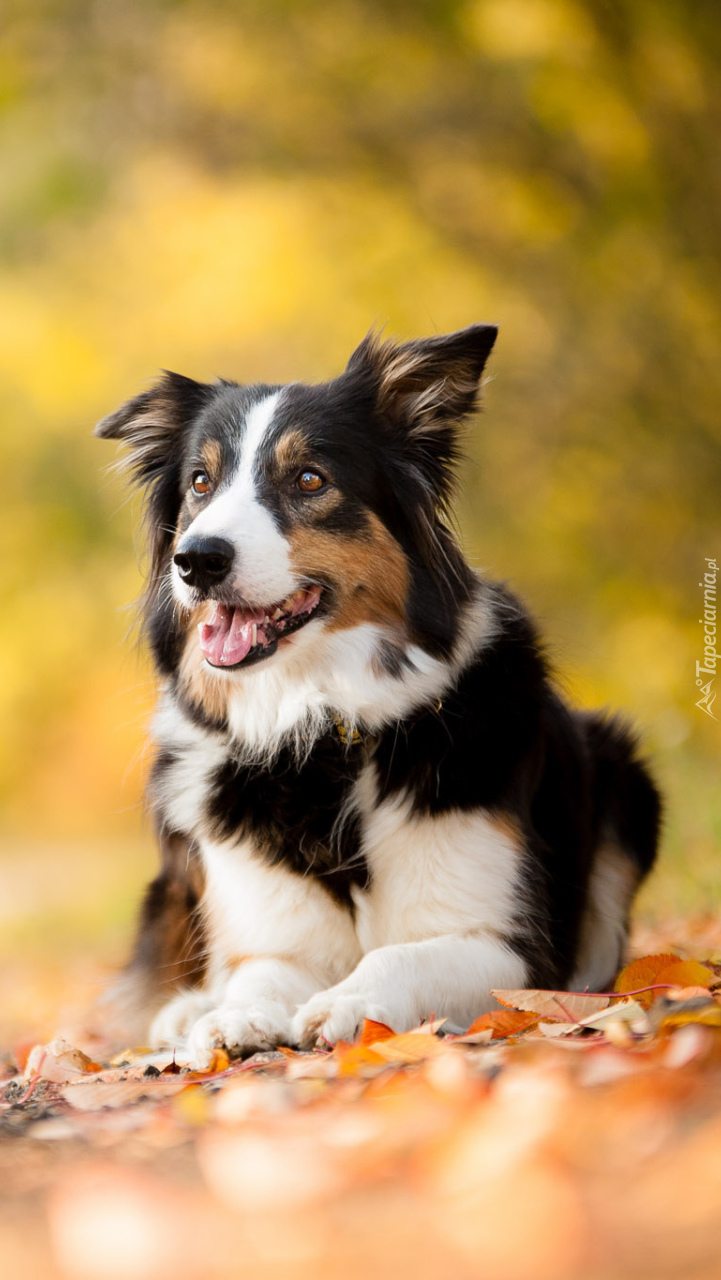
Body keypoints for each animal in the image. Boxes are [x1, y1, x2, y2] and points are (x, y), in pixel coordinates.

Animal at [98, 325, 660, 1064]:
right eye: (200, 482)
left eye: (309, 479)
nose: (196, 559)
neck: (323, 733)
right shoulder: (275, 932)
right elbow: (257, 972)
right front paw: (230, 1016)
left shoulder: (510, 949)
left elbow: (400, 956)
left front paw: (349, 1002)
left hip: (623, 773)